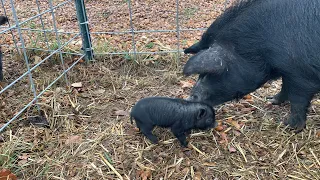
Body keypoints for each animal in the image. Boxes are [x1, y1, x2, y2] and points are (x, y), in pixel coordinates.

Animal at [182, 0, 320, 132]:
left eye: (208, 74)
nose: (189, 99)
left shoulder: (301, 74)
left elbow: (298, 100)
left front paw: (289, 126)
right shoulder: (286, 70)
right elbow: (284, 86)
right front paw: (271, 100)